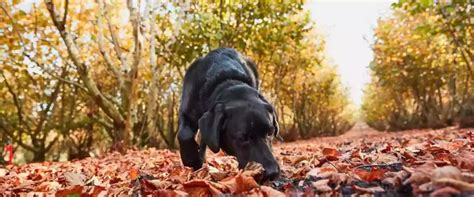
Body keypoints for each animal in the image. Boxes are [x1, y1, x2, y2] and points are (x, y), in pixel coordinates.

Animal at [178, 47, 282, 180]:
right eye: (242, 138)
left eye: (270, 132)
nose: (272, 172)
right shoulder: (186, 112)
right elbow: (184, 135)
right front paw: (191, 161)